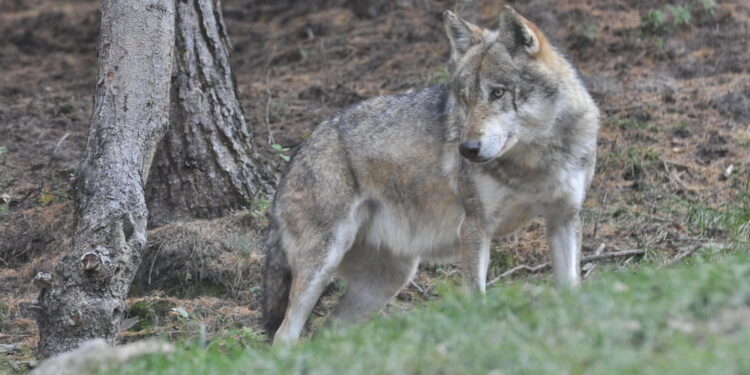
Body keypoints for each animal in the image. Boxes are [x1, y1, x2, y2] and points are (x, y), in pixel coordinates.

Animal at [262, 6, 604, 346]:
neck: (533, 162)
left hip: (389, 279)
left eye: (497, 93)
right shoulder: (475, 228)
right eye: (465, 98)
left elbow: (571, 289)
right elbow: (477, 298)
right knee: (284, 335)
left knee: (327, 333)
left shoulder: (564, 218)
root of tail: (295, 156)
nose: (467, 149)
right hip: (323, 265)